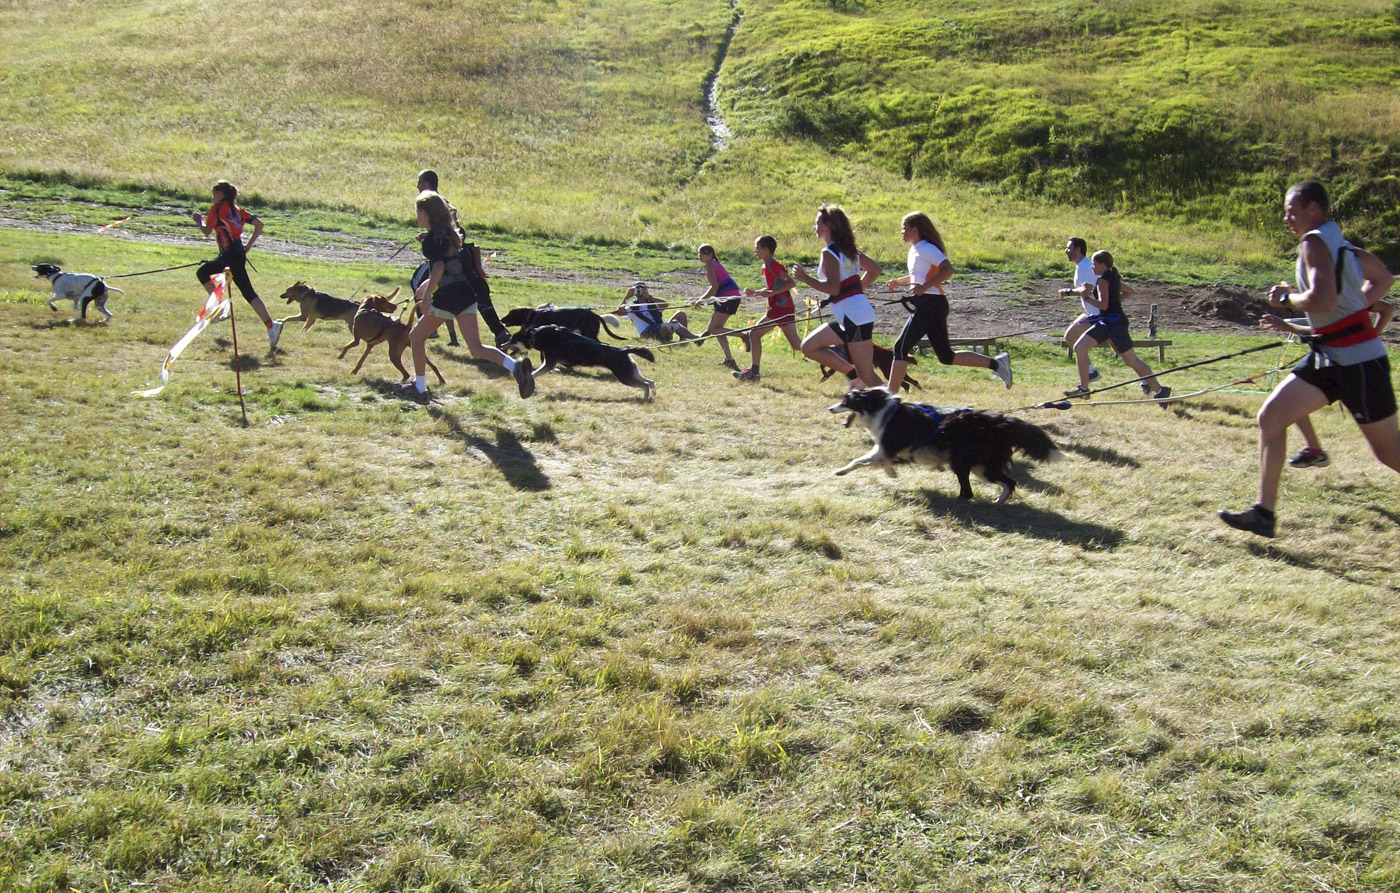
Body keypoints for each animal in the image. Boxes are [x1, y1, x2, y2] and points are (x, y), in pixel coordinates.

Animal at [506, 324, 658, 403]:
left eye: (513, 339)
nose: (502, 344)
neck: (536, 335)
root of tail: (622, 350)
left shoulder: (549, 364)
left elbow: (533, 373)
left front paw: (525, 380)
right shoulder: (550, 365)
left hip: (625, 377)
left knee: (645, 385)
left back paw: (645, 398)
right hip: (631, 373)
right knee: (650, 382)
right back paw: (653, 394)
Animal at [828, 389, 1058, 506]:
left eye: (846, 400)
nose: (830, 408)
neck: (880, 408)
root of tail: (1000, 422)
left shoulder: (887, 446)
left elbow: (860, 460)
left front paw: (840, 471)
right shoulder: (892, 450)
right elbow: (879, 461)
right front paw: (891, 472)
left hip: (965, 463)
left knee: (970, 491)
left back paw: (960, 502)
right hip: (982, 467)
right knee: (1009, 482)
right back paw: (997, 502)